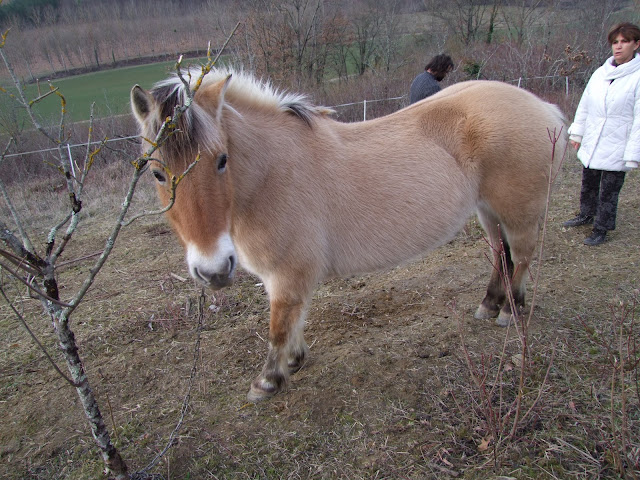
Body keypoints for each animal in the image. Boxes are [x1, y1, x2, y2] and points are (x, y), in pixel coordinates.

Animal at [130, 67, 564, 402]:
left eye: (222, 160)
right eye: (156, 172)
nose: (214, 271)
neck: (271, 175)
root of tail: (543, 107)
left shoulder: (287, 276)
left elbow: (279, 325)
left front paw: (268, 381)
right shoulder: (284, 277)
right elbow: (294, 319)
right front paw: (294, 361)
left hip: (517, 213)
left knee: (521, 256)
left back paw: (510, 311)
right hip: (488, 211)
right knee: (501, 254)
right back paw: (490, 303)